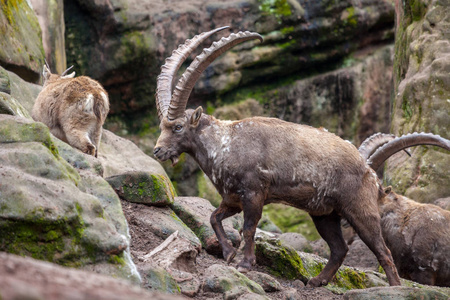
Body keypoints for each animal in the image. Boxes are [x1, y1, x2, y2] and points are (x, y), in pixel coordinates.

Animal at [153, 27, 402, 286]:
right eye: (162, 126)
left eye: (178, 127)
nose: (157, 151)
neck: (224, 144)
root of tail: (370, 172)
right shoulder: (233, 198)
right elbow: (214, 217)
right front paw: (229, 253)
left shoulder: (254, 193)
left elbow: (249, 228)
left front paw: (245, 264)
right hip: (325, 214)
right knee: (339, 248)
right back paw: (316, 281)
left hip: (359, 209)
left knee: (383, 251)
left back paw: (394, 287)